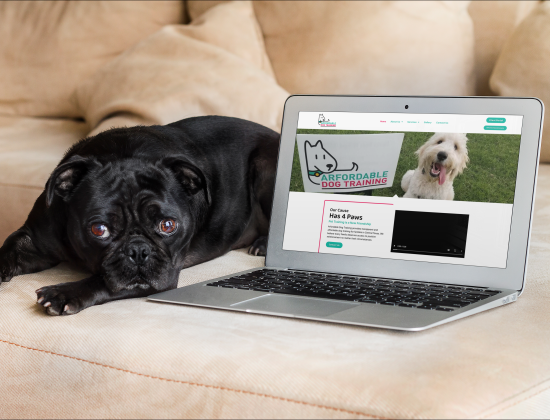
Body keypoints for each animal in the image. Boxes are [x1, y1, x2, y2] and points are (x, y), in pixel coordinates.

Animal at [0, 115, 278, 316]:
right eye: (99, 229)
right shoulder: (34, 241)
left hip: (266, 166)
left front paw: (65, 293)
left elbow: (100, 281)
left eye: (168, 225)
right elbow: (9, 248)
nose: (138, 250)